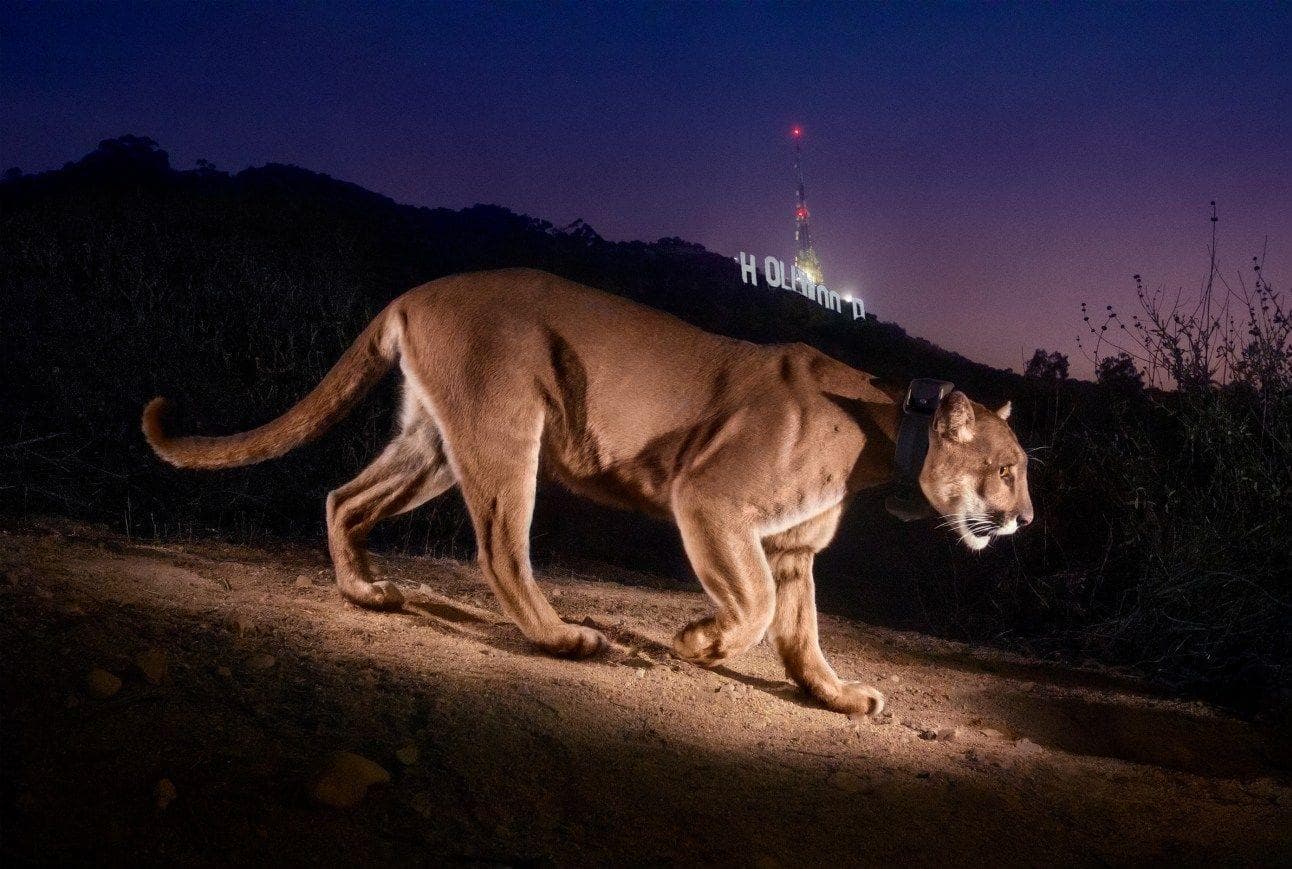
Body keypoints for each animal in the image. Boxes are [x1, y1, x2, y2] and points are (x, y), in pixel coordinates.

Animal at [142, 269, 1033, 716]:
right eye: (1009, 467)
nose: (1025, 516)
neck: (886, 427)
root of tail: (417, 290)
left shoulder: (791, 549)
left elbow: (801, 635)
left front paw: (838, 695)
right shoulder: (710, 498)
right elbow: (751, 610)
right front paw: (696, 642)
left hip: (433, 443)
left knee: (344, 497)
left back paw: (366, 589)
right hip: (507, 429)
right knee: (500, 548)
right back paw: (564, 637)